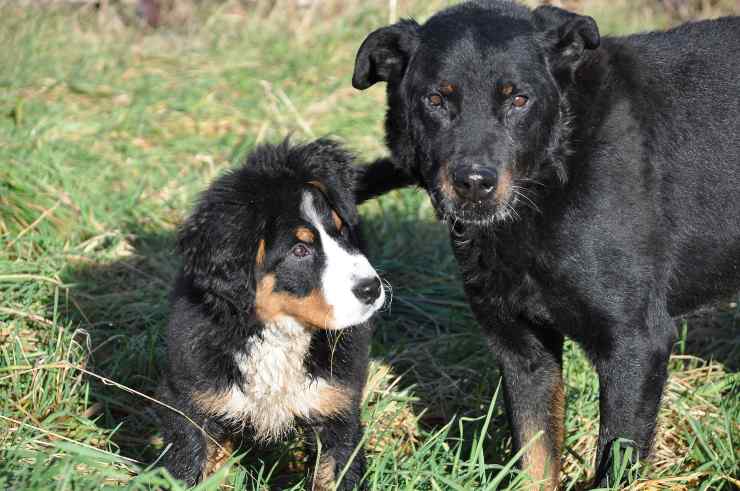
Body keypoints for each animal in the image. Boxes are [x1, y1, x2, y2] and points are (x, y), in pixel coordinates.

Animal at [158, 138, 384, 488]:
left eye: (341, 232)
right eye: (300, 250)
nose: (371, 289)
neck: (280, 334)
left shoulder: (337, 408)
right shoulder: (191, 401)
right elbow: (187, 468)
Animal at [352, 0, 740, 488]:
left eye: (518, 99)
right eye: (436, 100)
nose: (474, 183)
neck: (551, 176)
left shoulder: (636, 343)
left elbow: (615, 462)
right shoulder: (522, 349)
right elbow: (535, 458)